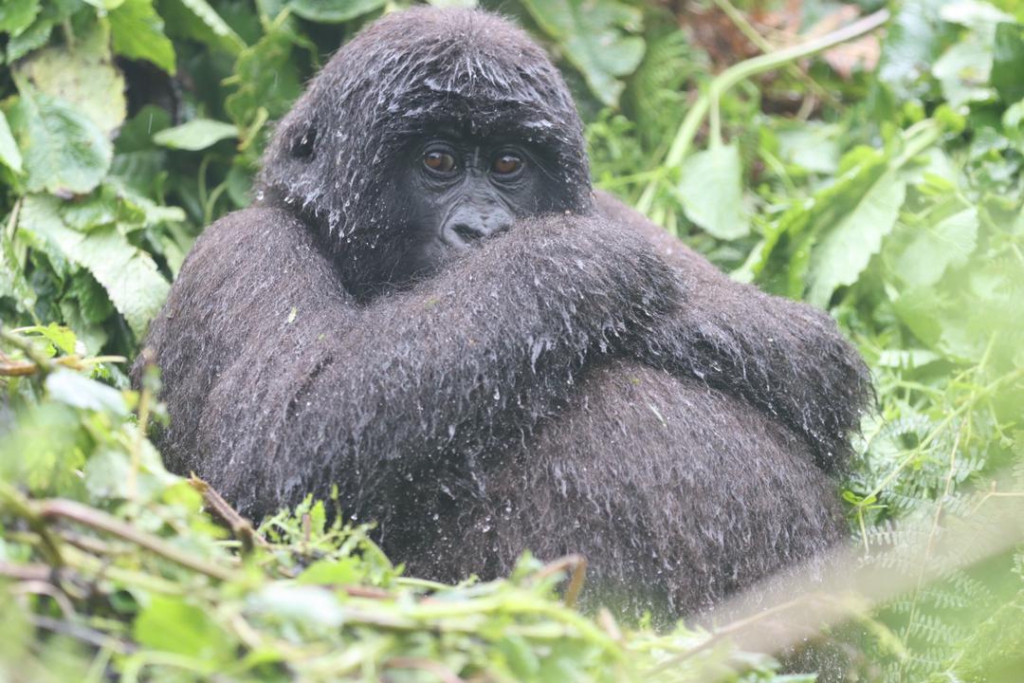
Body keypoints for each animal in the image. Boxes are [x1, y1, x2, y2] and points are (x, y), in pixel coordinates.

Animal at [136, 7, 868, 622]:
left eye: (509, 164)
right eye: (437, 161)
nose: (483, 228)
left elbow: (814, 354)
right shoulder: (243, 248)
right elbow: (274, 455)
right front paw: (570, 261)